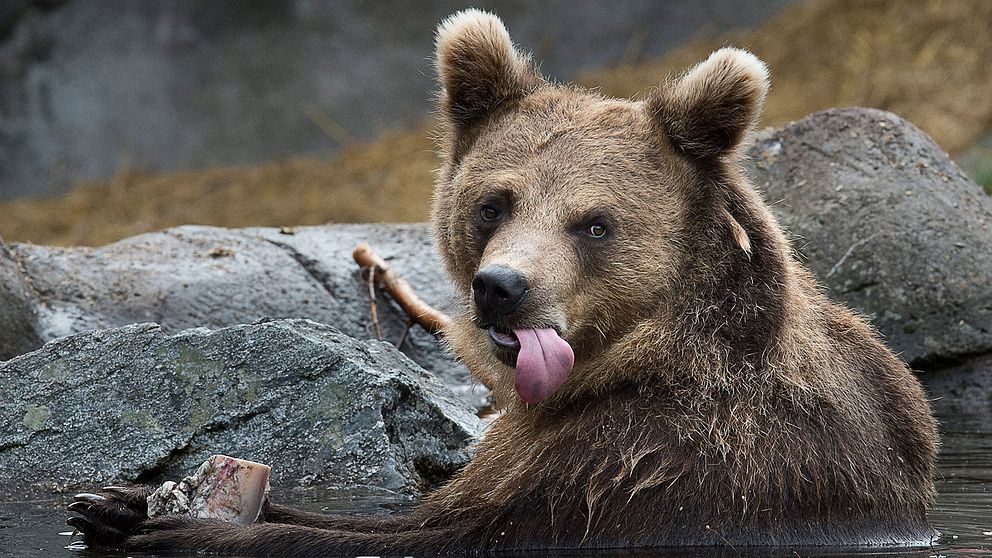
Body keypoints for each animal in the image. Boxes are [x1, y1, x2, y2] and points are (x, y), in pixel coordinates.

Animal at [68, 7, 936, 556]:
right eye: (496, 201)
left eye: (594, 223)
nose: (502, 286)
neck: (637, 360)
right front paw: (117, 502)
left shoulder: (661, 463)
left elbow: (453, 535)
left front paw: (193, 530)